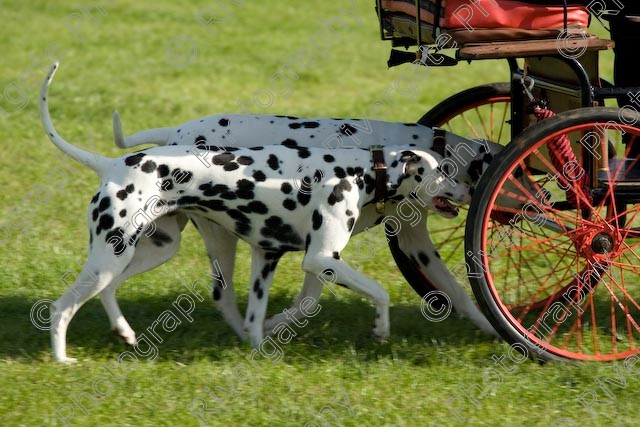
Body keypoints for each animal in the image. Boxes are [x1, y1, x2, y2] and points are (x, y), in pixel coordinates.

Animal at [40, 63, 478, 362]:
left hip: (147, 251)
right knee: (61, 308)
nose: (469, 190)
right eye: (444, 170)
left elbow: (258, 321)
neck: (360, 170)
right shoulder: (321, 259)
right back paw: (63, 359)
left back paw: (124, 332)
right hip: (112, 258)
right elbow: (381, 293)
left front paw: (259, 348)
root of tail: (111, 164)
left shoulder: (269, 257)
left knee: (108, 292)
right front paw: (381, 329)